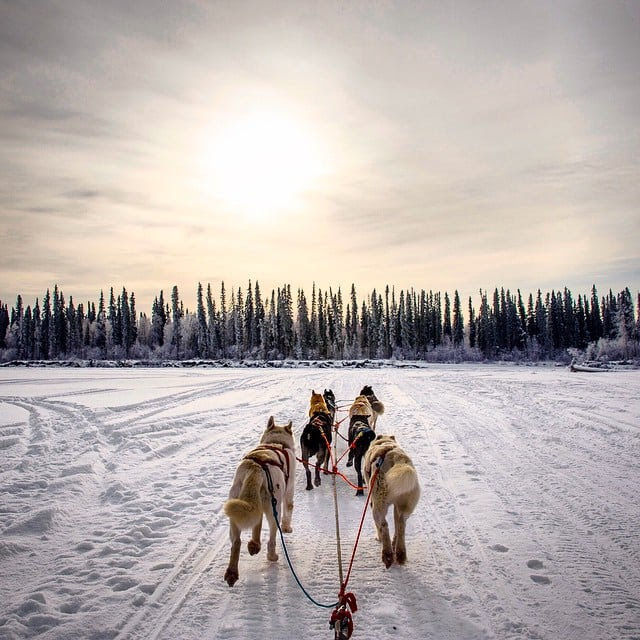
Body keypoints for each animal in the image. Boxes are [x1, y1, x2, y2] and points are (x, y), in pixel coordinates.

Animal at [224, 418, 296, 588]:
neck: (276, 442)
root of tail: (256, 468)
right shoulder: (288, 492)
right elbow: (289, 509)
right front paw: (287, 528)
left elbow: (257, 525)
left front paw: (254, 543)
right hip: (274, 508)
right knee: (272, 538)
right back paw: (272, 556)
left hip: (235, 509)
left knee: (236, 542)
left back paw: (232, 572)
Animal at [364, 432, 420, 568]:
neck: (385, 443)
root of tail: (398, 459)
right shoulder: (396, 507)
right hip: (404, 506)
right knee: (401, 524)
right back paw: (399, 552)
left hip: (378, 506)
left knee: (384, 525)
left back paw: (388, 554)